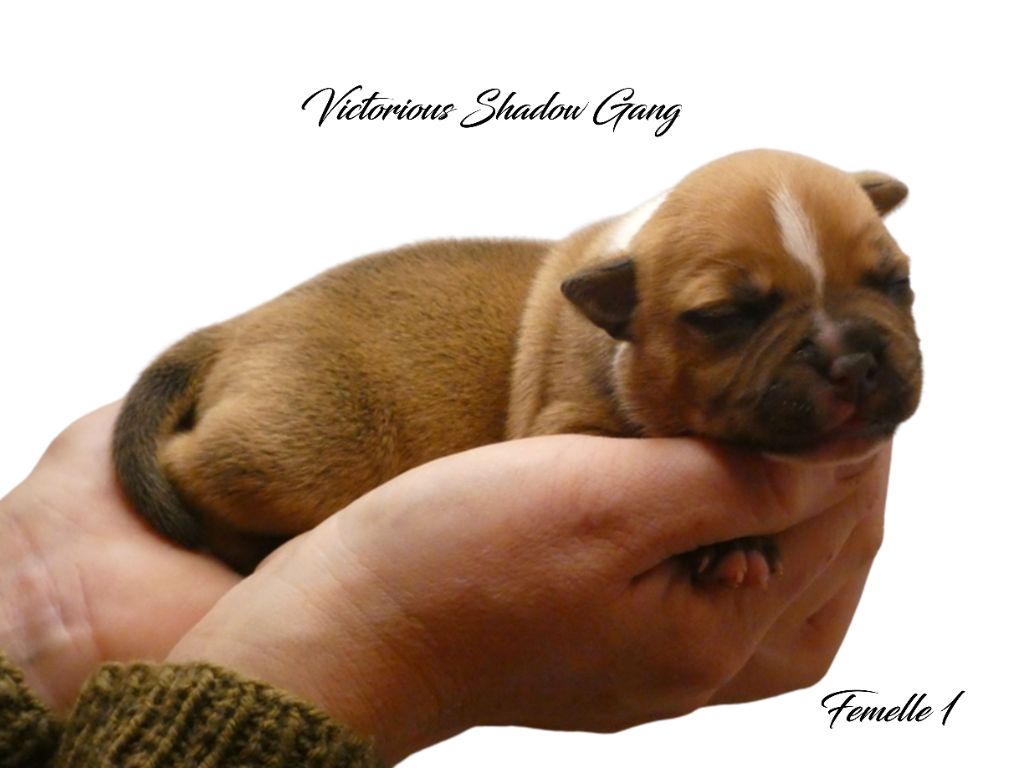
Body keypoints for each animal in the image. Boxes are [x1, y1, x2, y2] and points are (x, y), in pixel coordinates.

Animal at [113, 149, 921, 579]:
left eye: (896, 283)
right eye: (725, 319)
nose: (854, 362)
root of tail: (233, 329)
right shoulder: (562, 424)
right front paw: (737, 544)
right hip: (310, 445)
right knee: (196, 464)